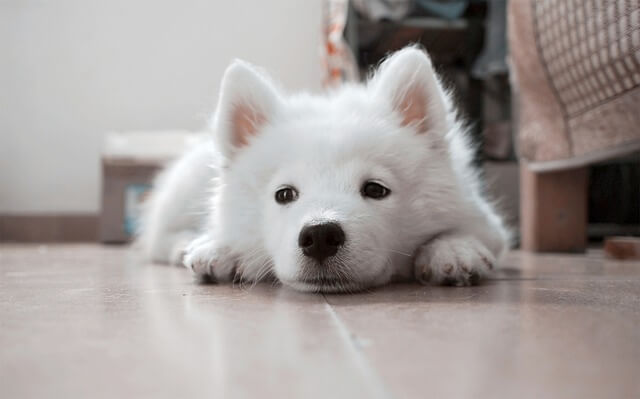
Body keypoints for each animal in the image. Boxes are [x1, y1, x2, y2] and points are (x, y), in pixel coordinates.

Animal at [138, 47, 508, 294]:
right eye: (284, 194)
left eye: (375, 189)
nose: (319, 236)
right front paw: (223, 247)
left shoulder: (486, 220)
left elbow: (464, 232)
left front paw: (454, 249)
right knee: (158, 236)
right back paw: (186, 244)